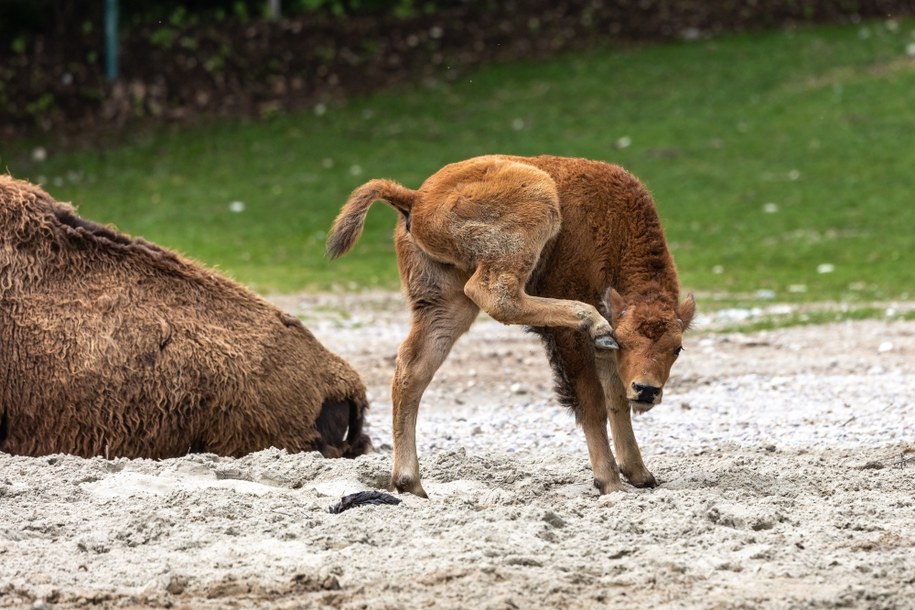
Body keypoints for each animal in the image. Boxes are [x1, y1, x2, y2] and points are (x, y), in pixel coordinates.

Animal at [330, 154, 696, 496]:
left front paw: (639, 473)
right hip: (536, 203)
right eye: (626, 341)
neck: (613, 225)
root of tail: (416, 197)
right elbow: (594, 402)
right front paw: (610, 481)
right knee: (496, 294)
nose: (647, 390)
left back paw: (410, 482)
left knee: (413, 368)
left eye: (677, 348)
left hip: (444, 304)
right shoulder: (573, 338)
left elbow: (616, 398)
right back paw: (589, 317)